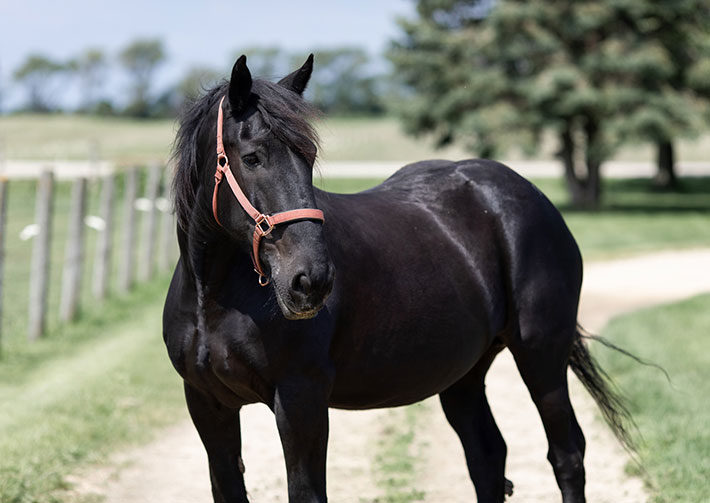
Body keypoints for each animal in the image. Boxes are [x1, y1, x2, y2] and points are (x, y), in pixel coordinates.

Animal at [163, 54, 634, 503]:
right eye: (252, 157)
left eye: (309, 157)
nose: (311, 279)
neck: (214, 297)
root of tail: (534, 198)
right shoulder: (207, 404)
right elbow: (228, 488)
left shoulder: (300, 399)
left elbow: (307, 493)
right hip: (464, 374)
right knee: (487, 455)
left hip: (541, 358)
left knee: (567, 455)